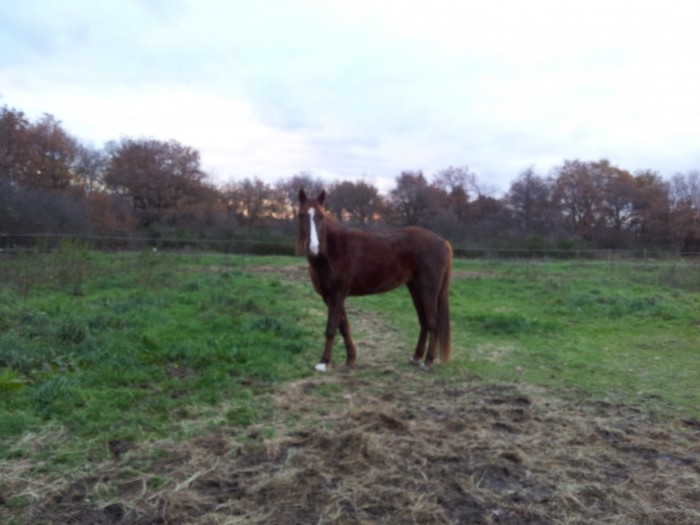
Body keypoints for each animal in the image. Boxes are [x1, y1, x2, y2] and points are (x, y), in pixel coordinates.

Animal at [296, 188, 454, 368]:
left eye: (321, 216)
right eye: (301, 215)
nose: (313, 248)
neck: (333, 251)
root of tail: (442, 242)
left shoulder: (337, 294)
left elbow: (331, 327)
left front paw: (324, 362)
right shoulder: (329, 296)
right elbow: (343, 326)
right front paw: (350, 359)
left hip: (428, 290)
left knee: (433, 322)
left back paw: (428, 361)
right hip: (415, 288)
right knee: (424, 321)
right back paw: (416, 357)